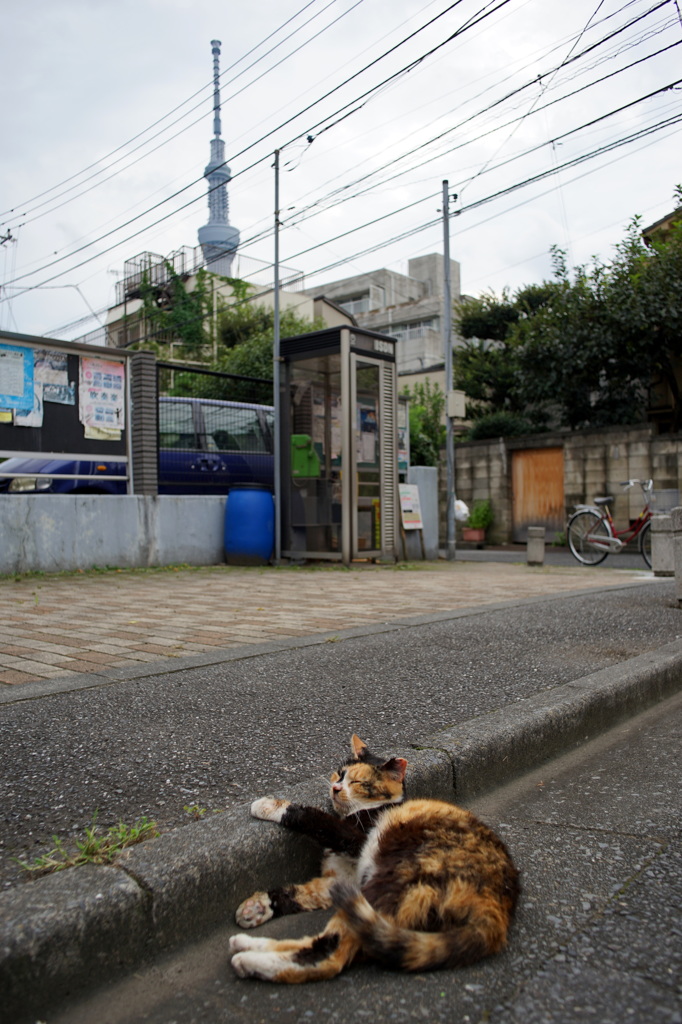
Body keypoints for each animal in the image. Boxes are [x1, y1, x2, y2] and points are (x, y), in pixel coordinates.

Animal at [225, 733, 518, 978]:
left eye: (357, 782)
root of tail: (496, 905)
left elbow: (311, 816)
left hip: (389, 886)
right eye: (339, 774)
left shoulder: (351, 836)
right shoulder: (341, 880)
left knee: (332, 955)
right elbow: (303, 893)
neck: (370, 809)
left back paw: (248, 960)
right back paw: (247, 944)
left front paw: (267, 805)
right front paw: (258, 907)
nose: (336, 788)